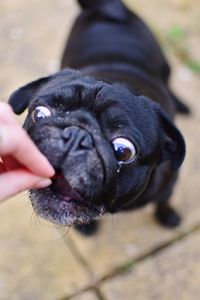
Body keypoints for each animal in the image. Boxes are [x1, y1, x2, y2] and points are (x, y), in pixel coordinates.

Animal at [8, 0, 188, 234]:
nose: (75, 135)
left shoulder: (168, 187)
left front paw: (167, 216)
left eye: (123, 150)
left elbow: (164, 201)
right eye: (39, 114)